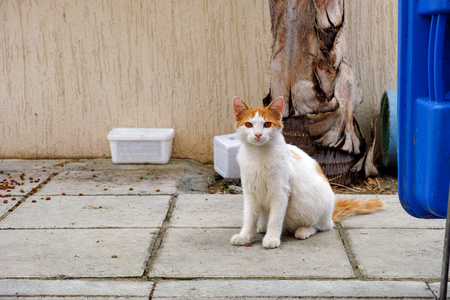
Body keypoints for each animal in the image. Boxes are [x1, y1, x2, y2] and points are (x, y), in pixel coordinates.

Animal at [232, 96, 384, 248]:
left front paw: (272, 238)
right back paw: (263, 225)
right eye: (248, 125)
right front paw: (245, 236)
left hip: (314, 207)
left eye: (267, 124)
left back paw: (303, 230)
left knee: (323, 226)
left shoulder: (281, 192)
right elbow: (249, 218)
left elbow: (275, 219)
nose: (258, 134)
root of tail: (330, 215)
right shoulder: (250, 193)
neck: (258, 155)